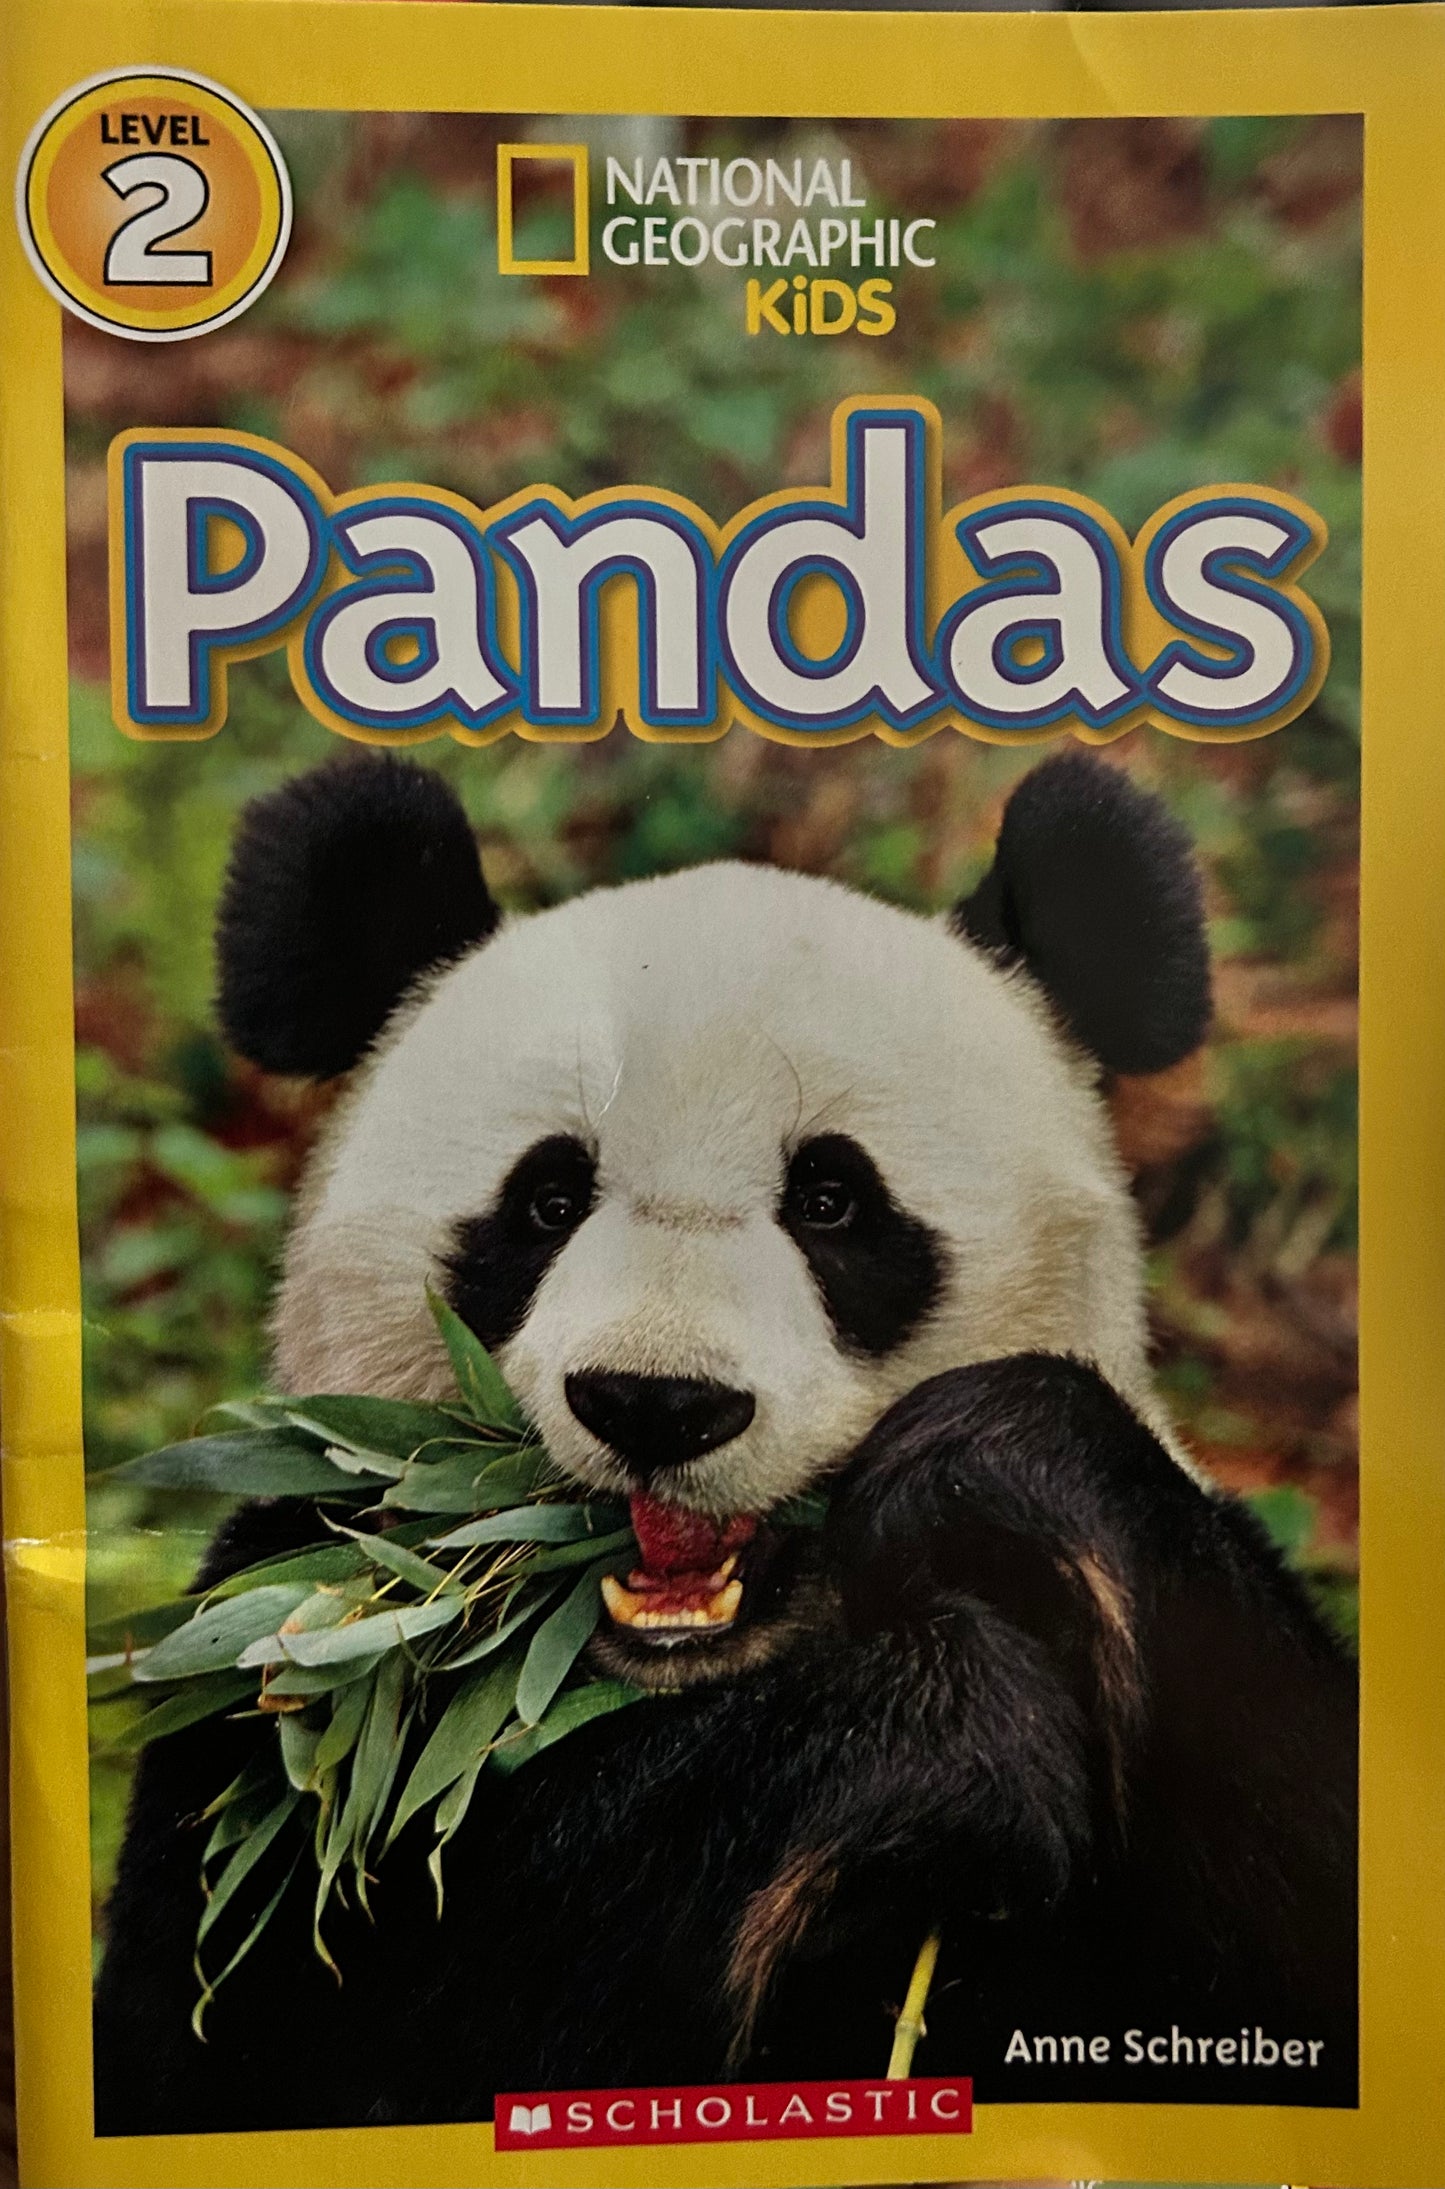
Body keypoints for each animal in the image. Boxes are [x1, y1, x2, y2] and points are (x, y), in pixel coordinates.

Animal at [93, 748, 1357, 2135]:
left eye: (832, 1199)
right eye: (546, 1199)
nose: (656, 1400)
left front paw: (990, 1470)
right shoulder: (285, 1671)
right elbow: (297, 2035)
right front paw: (939, 1729)